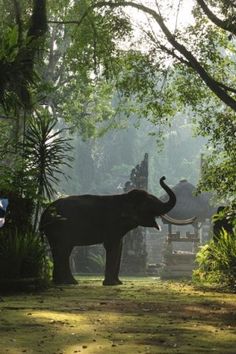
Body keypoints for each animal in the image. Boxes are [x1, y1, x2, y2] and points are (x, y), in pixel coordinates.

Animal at [38, 176, 194, 286]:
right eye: (150, 204)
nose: (163, 178)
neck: (124, 197)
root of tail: (44, 212)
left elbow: (119, 246)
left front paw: (118, 283)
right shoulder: (112, 224)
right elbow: (112, 246)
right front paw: (111, 284)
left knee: (62, 251)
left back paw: (63, 282)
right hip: (58, 228)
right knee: (63, 250)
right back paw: (68, 282)